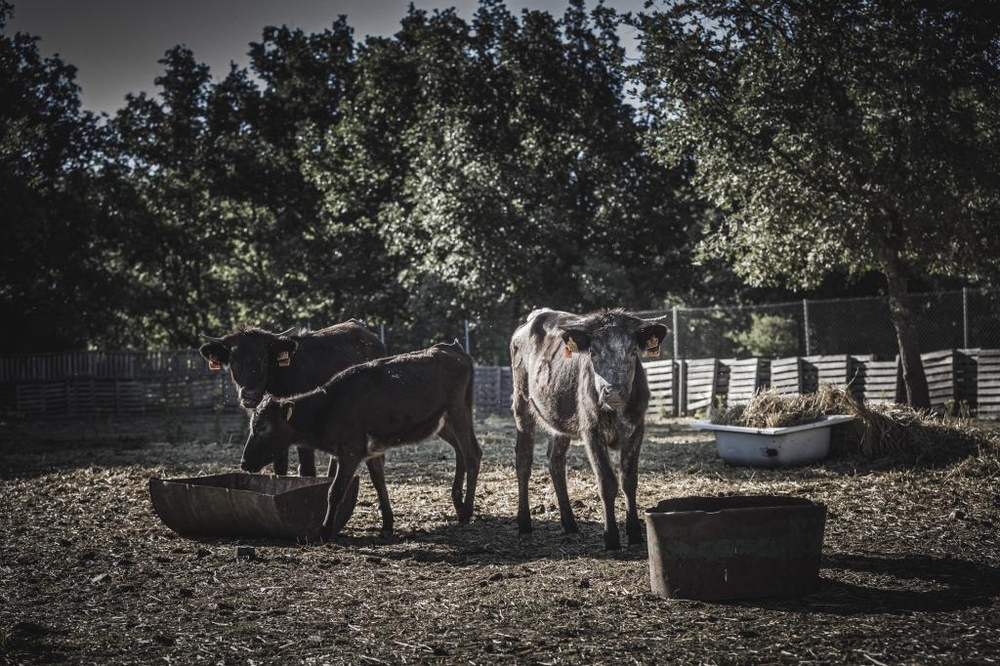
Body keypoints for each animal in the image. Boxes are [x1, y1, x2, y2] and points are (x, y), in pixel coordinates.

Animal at [197, 320, 396, 528]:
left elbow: (307, 470)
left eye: (263, 358)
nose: (249, 395)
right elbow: (279, 469)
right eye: (233, 360)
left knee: (376, 467)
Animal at [238, 342, 480, 540]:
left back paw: (467, 511)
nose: (243, 463)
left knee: (472, 455)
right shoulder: (369, 451)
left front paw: (325, 531)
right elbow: (378, 483)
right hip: (443, 423)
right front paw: (387, 524)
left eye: (262, 427)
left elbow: (335, 491)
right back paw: (458, 504)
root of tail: (454, 349)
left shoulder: (350, 452)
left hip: (458, 413)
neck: (328, 407)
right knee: (460, 451)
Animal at [512, 308, 668, 548]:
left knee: (555, 461)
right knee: (523, 460)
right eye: (593, 352)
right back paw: (524, 523)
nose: (613, 391)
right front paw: (611, 537)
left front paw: (634, 534)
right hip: (522, 404)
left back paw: (570, 523)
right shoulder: (591, 431)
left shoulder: (636, 429)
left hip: (558, 421)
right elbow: (607, 482)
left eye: (633, 351)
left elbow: (629, 480)